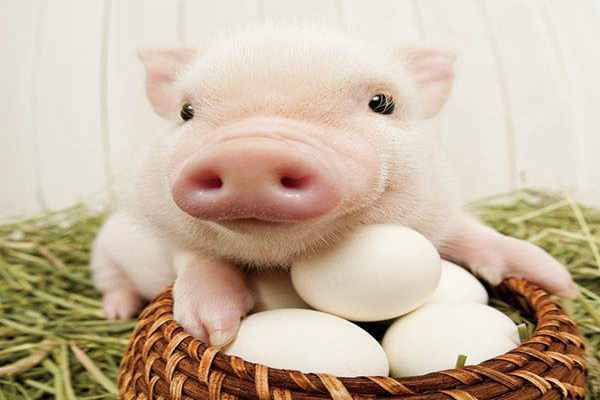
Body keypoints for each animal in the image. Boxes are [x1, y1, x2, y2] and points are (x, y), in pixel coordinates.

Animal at [91, 24, 577, 347]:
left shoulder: (437, 218)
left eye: (382, 102)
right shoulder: (164, 232)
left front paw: (562, 283)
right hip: (104, 249)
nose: (250, 153)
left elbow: (477, 236)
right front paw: (215, 332)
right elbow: (198, 258)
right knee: (112, 280)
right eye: (186, 112)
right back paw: (116, 310)